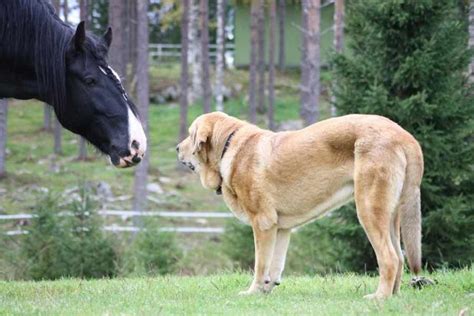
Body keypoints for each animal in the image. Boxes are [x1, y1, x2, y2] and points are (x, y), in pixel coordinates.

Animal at [177, 113, 422, 298]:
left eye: (190, 135)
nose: (177, 148)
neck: (228, 148)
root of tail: (405, 136)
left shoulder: (262, 223)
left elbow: (260, 264)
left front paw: (253, 292)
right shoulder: (281, 228)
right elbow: (275, 265)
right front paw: (266, 290)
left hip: (369, 210)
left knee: (389, 259)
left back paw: (379, 297)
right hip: (390, 216)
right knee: (400, 257)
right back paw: (393, 296)